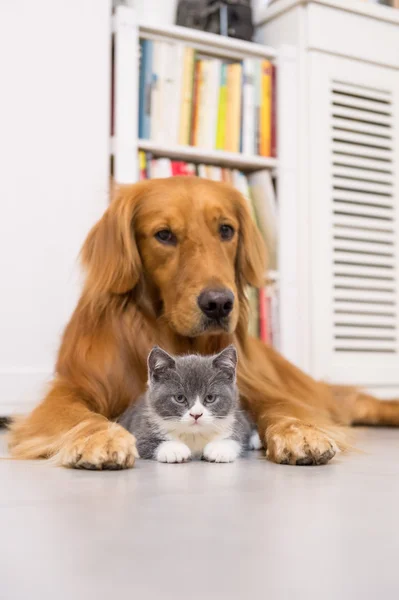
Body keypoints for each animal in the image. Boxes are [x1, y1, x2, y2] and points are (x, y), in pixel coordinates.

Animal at [118, 344, 262, 462]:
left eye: (210, 398)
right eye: (179, 398)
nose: (196, 415)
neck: (194, 435)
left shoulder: (235, 423)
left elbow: (238, 437)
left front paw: (219, 449)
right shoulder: (140, 427)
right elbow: (145, 442)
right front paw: (174, 449)